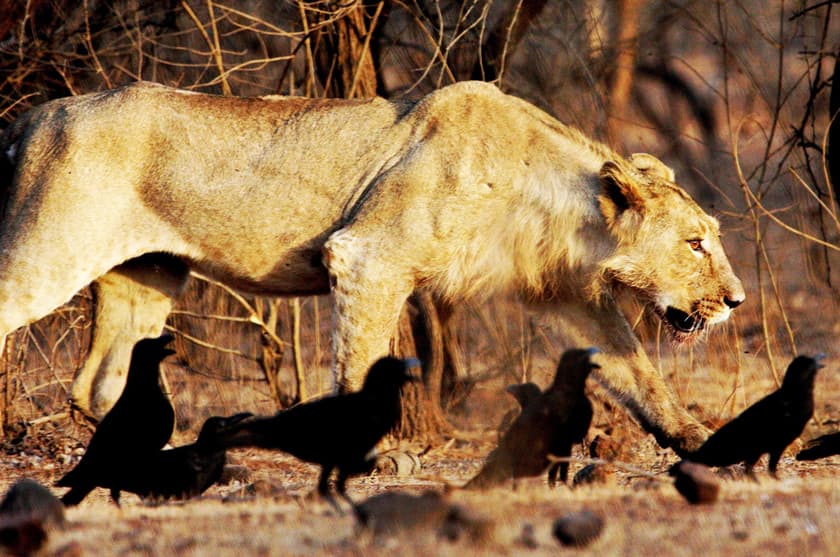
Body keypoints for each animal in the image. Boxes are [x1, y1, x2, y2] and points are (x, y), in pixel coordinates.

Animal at [0, 80, 744, 455]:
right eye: (696, 243)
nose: (736, 300)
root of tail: (39, 112)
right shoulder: (367, 254)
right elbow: (358, 363)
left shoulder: (569, 293)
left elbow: (636, 368)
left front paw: (695, 437)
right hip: (52, 247)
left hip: (148, 275)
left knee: (94, 385)